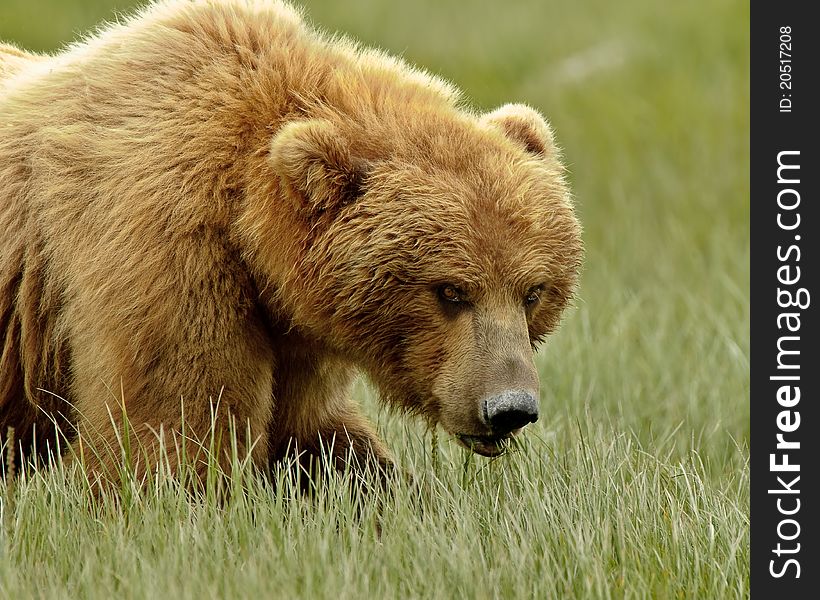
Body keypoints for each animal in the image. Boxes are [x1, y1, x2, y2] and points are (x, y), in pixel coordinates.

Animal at [0, 0, 584, 486]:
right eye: (450, 291)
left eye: (533, 291)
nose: (508, 408)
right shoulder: (162, 246)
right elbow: (175, 425)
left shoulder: (297, 329)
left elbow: (318, 437)